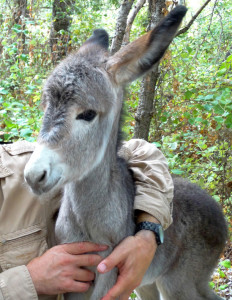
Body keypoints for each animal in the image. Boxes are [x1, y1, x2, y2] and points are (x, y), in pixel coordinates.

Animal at [24, 5, 227, 300]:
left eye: (88, 114)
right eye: (45, 106)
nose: (33, 175)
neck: (89, 227)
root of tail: (220, 213)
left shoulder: (113, 276)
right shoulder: (75, 272)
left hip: (180, 283)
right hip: (149, 283)